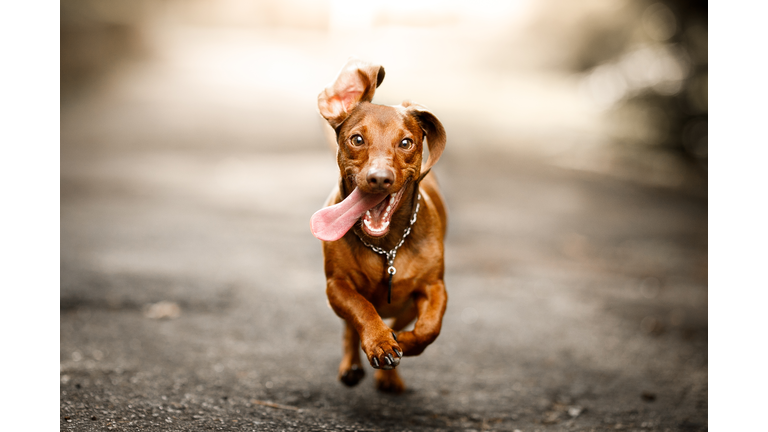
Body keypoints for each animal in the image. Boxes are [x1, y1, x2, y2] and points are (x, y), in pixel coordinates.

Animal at [308, 59, 448, 394]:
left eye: (406, 142)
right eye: (357, 139)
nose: (380, 178)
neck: (386, 246)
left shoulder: (434, 287)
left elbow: (429, 328)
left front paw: (403, 343)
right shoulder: (337, 286)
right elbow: (362, 309)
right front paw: (380, 342)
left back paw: (389, 376)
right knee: (350, 328)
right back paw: (352, 365)